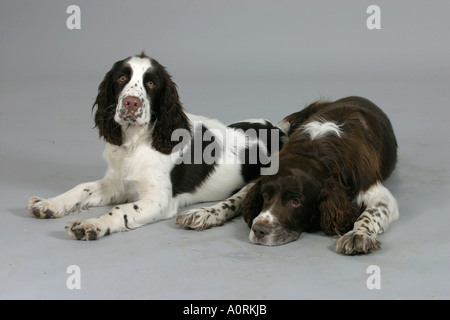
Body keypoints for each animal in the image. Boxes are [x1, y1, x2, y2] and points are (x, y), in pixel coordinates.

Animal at [178, 96, 400, 254]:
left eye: (295, 201)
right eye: (265, 195)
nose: (259, 230)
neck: (314, 153)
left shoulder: (376, 192)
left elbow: (370, 214)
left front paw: (358, 235)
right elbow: (234, 199)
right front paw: (205, 213)